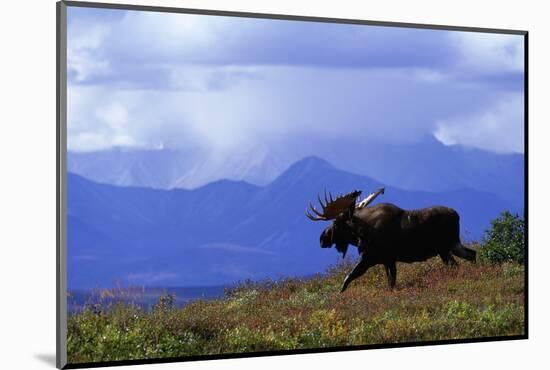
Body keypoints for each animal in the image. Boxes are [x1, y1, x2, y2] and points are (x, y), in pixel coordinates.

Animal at [308, 189, 476, 294]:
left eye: (336, 223)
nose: (322, 239)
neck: (360, 234)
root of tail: (457, 215)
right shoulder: (387, 260)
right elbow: (391, 281)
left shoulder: (369, 259)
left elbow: (349, 277)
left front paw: (339, 293)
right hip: (451, 246)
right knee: (471, 254)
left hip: (445, 248)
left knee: (457, 264)